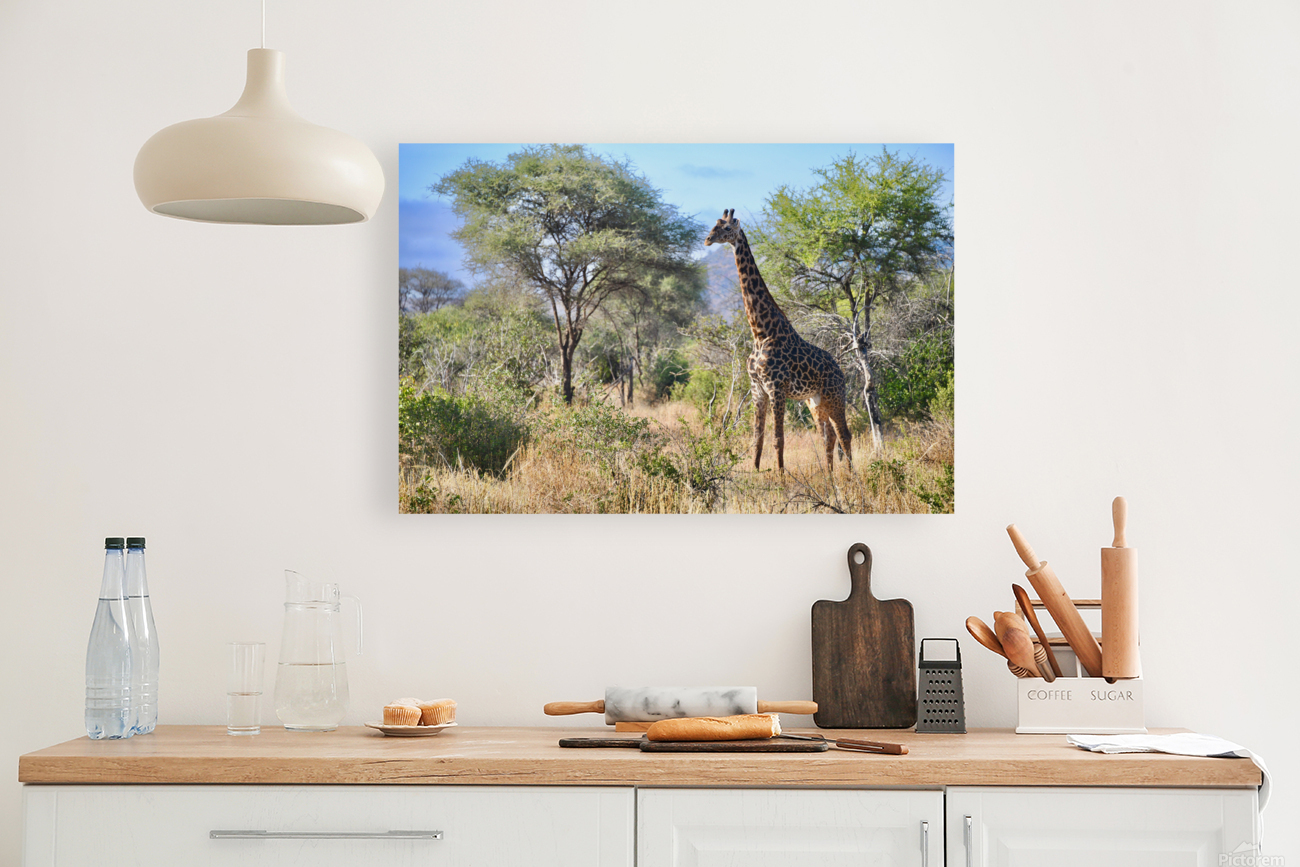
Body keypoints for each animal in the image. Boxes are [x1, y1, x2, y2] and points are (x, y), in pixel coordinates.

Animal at [704, 209, 852, 474]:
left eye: (727, 228)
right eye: (715, 224)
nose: (708, 239)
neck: (761, 333)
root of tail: (840, 371)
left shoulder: (776, 388)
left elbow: (778, 438)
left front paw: (782, 476)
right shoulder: (757, 389)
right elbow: (758, 437)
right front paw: (754, 472)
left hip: (835, 396)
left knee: (845, 434)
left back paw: (850, 474)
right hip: (815, 402)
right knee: (829, 436)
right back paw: (829, 475)